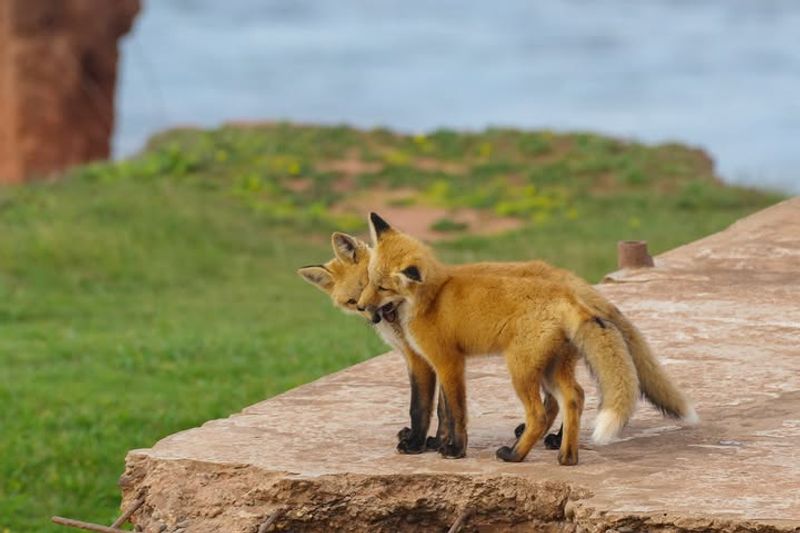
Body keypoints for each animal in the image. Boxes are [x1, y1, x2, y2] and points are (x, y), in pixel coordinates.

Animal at [299, 228, 697, 460]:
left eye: (374, 285)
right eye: (353, 300)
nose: (372, 316)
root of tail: (569, 283)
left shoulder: (426, 360)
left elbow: (425, 409)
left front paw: (422, 445)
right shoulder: (436, 358)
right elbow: (443, 410)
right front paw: (437, 443)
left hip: (523, 363)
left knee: (552, 403)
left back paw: (535, 444)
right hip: (551, 362)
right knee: (570, 397)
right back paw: (557, 445)